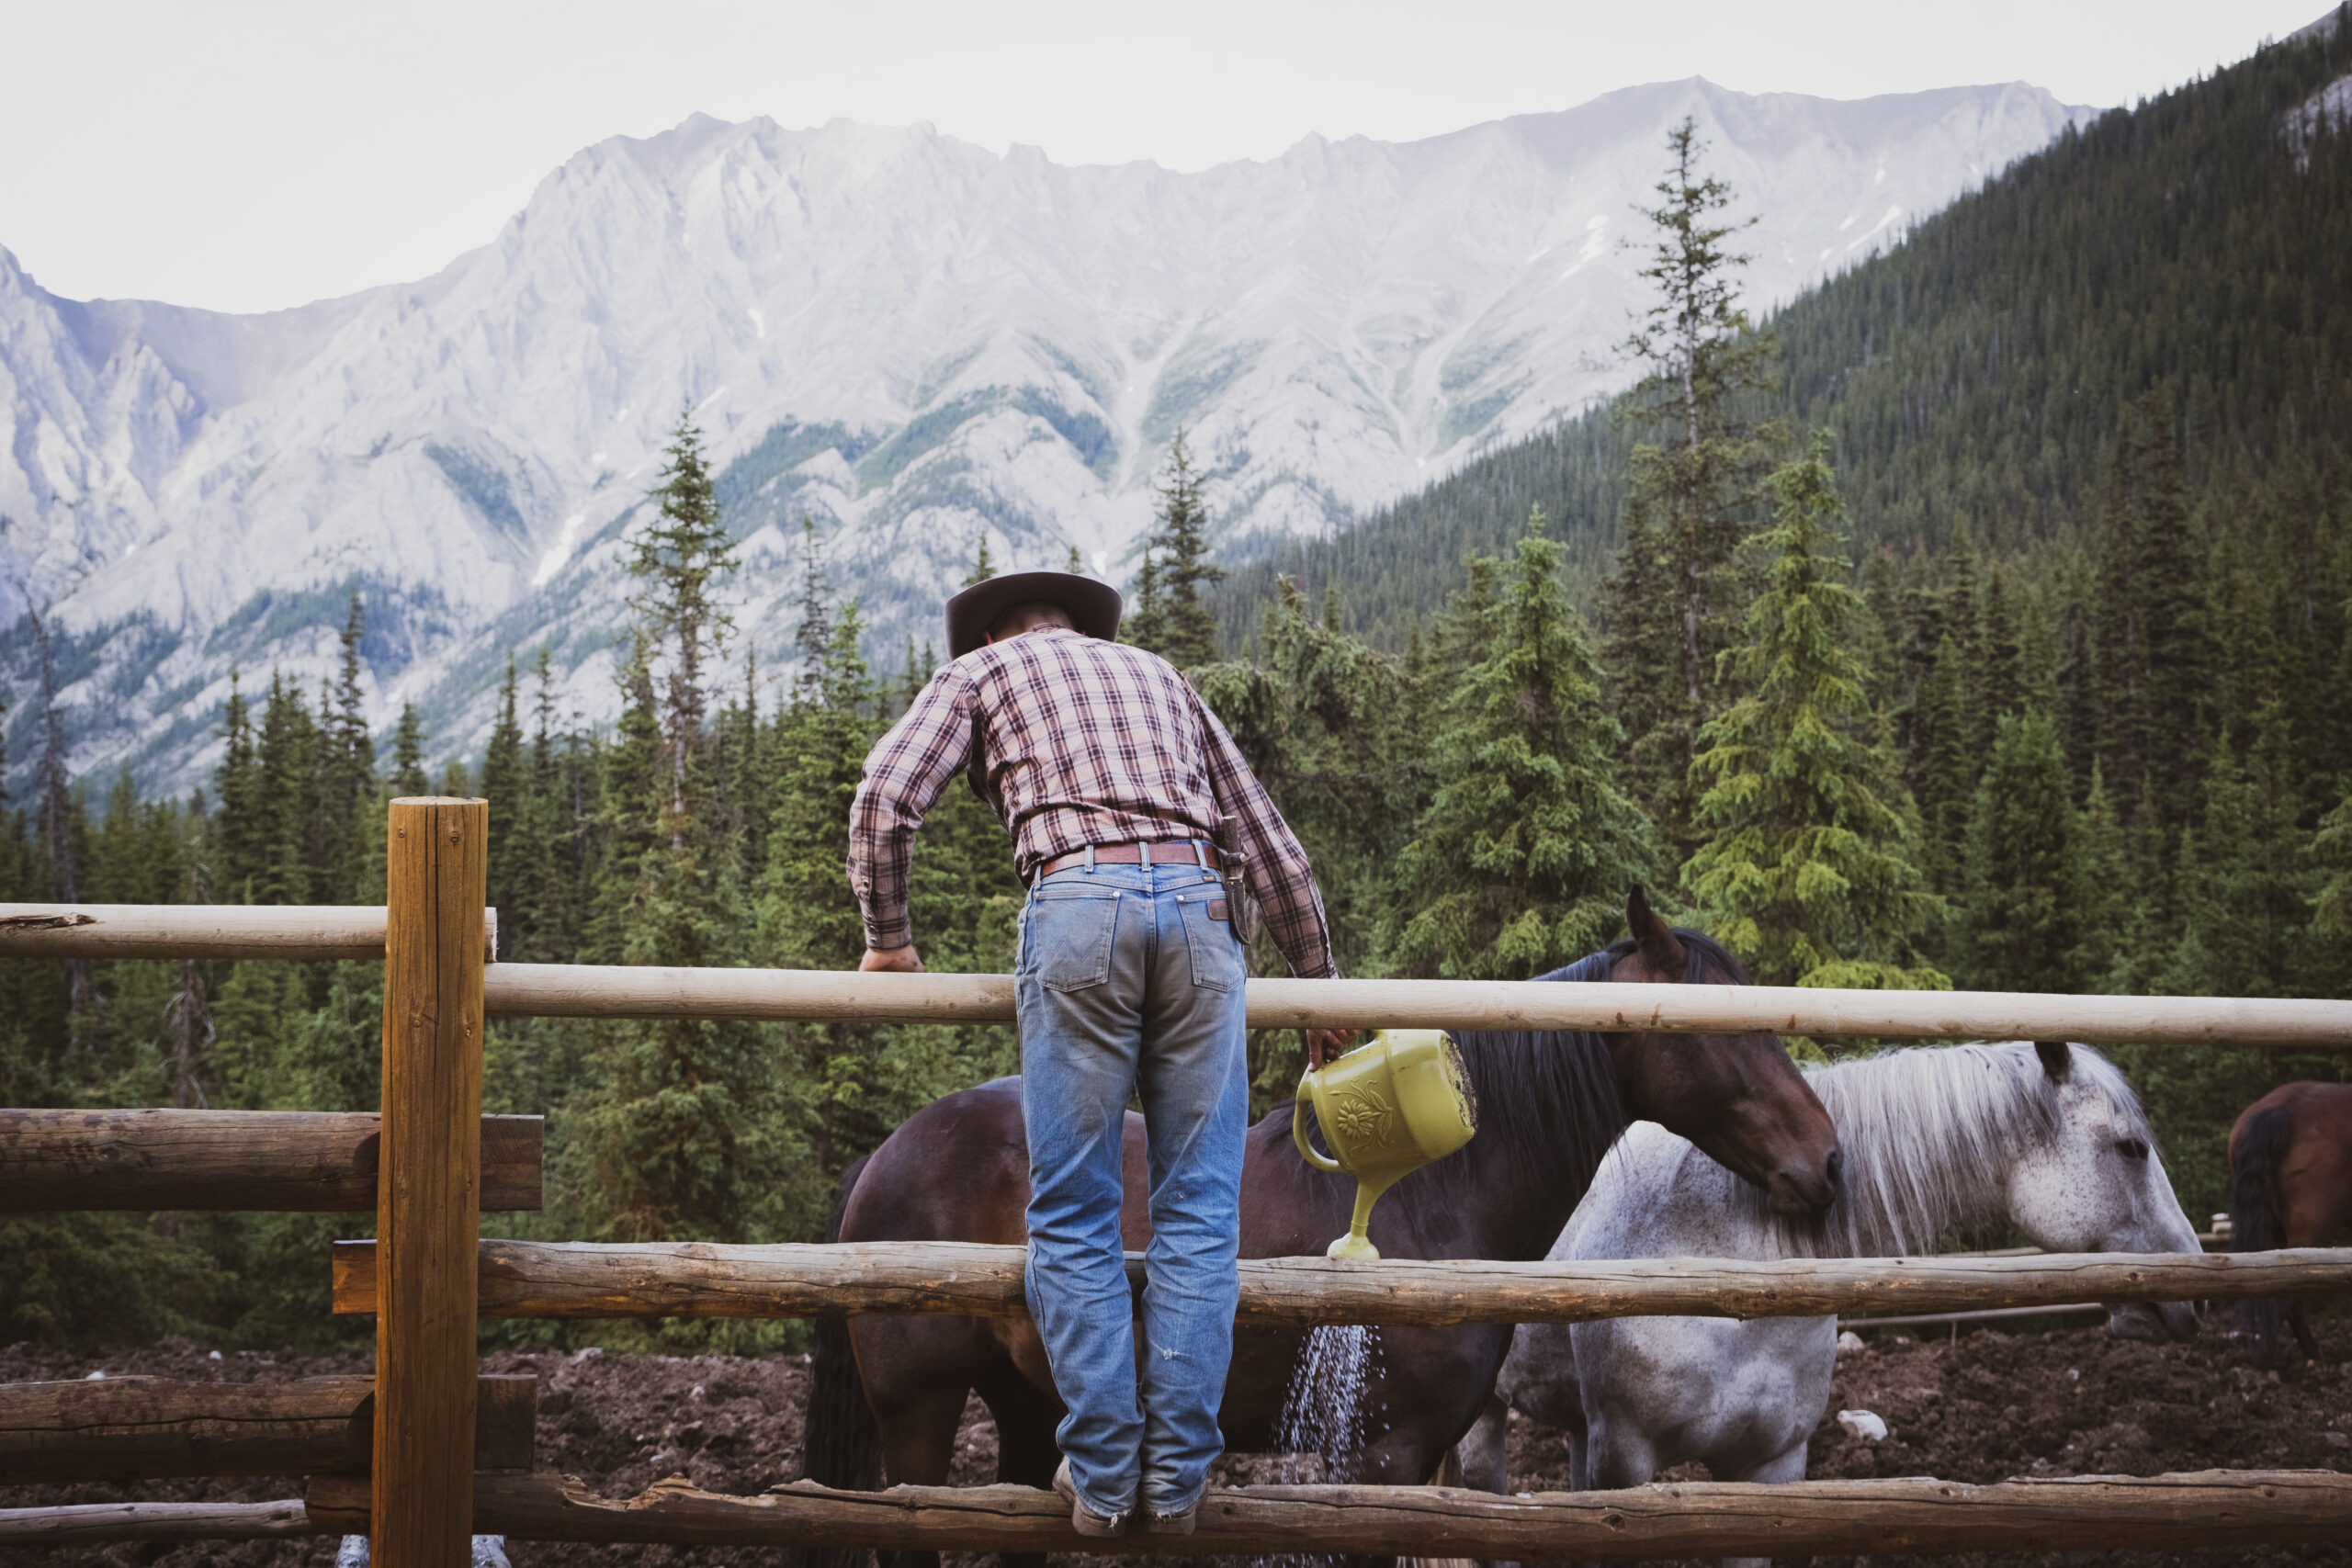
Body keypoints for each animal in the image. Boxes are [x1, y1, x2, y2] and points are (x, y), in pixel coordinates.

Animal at [799, 888, 1844, 1561]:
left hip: (1025, 1406)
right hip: (921, 1411)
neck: (1434, 1198)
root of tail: (885, 1156)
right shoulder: (1387, 1453)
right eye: (1719, 1027)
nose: (1827, 1162)